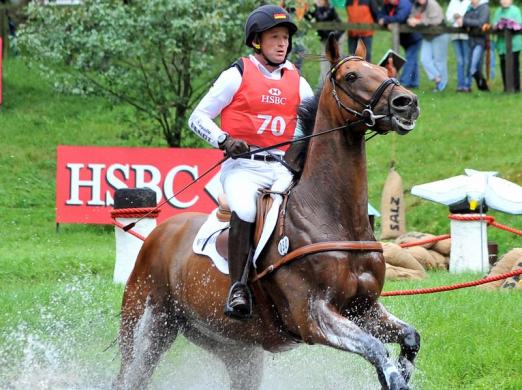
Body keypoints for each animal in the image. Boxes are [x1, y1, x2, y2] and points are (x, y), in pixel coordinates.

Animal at [114, 36, 418, 390]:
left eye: (384, 71)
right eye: (352, 76)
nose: (407, 102)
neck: (333, 216)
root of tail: (161, 231)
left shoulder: (364, 309)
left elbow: (410, 338)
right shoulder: (312, 315)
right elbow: (377, 350)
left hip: (231, 345)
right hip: (148, 321)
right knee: (130, 373)